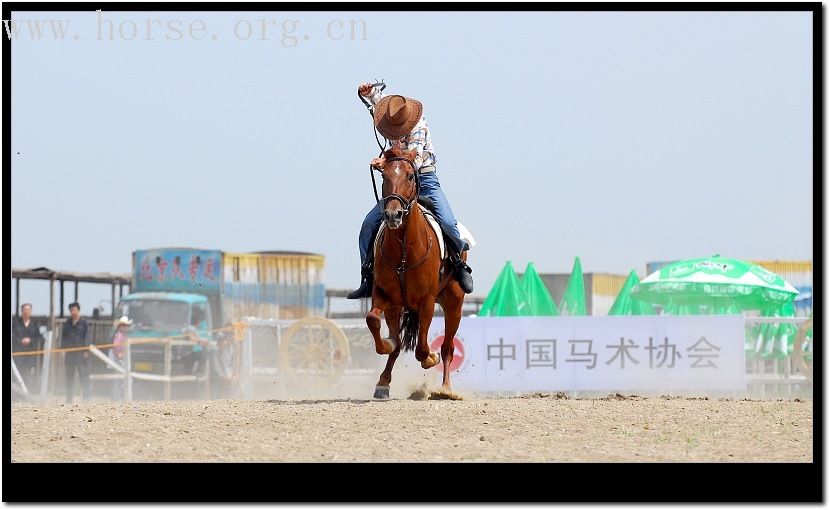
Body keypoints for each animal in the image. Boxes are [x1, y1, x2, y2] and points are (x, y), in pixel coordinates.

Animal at [370, 146, 468, 398]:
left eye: (410, 176)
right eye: (384, 176)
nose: (393, 215)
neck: (404, 252)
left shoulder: (427, 301)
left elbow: (423, 349)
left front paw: (430, 358)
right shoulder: (385, 296)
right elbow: (375, 322)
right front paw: (386, 345)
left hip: (454, 303)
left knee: (447, 347)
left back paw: (446, 388)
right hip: (398, 307)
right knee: (398, 342)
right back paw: (383, 382)